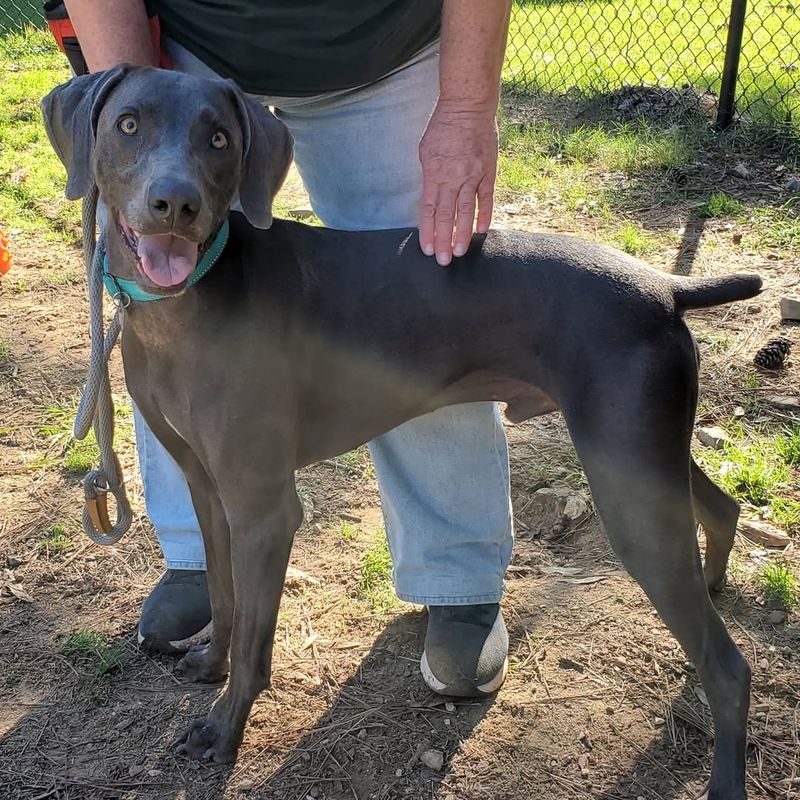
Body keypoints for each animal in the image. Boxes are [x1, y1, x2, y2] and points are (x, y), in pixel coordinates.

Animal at [45, 65, 764, 796]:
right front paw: (210, 667)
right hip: (645, 453)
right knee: (722, 508)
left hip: (629, 489)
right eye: (129, 124)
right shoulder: (208, 490)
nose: (174, 204)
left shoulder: (264, 509)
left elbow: (252, 635)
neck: (185, 304)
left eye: (219, 138)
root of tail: (665, 288)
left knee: (730, 666)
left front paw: (225, 729)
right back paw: (714, 584)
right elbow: (224, 598)